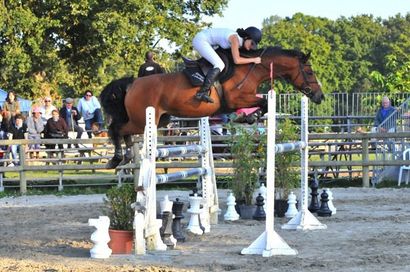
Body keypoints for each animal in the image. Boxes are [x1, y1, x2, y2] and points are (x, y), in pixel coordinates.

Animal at [99, 46, 324, 168]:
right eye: (309, 72)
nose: (320, 96)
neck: (252, 67)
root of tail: (132, 83)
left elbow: (263, 103)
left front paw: (248, 118)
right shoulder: (236, 99)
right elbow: (263, 102)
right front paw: (248, 117)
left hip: (159, 120)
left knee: (123, 131)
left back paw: (127, 156)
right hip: (143, 119)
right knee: (116, 128)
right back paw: (116, 158)